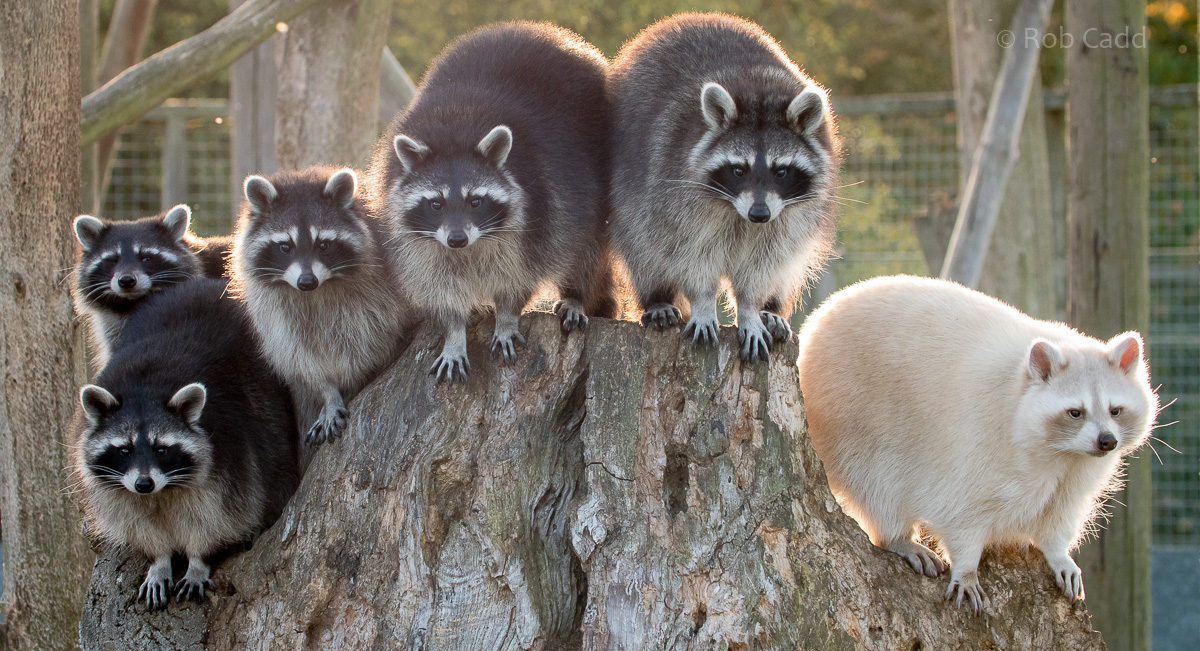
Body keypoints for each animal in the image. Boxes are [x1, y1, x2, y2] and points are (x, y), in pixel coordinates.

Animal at [74, 278, 299, 610]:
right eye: (125, 449)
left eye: (161, 449)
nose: (143, 484)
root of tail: (207, 285)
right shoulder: (117, 489)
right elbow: (136, 523)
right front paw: (159, 560)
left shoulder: (232, 453)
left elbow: (223, 515)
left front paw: (198, 559)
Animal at [232, 166, 407, 445]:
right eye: (285, 246)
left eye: (323, 245)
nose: (306, 282)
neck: (316, 292)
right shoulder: (273, 310)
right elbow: (300, 355)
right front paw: (328, 393)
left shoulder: (378, 293)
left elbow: (371, 339)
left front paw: (352, 382)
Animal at [368, 21, 615, 384]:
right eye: (436, 204)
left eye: (475, 201)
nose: (457, 239)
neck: (454, 135)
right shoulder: (417, 242)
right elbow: (438, 284)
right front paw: (454, 334)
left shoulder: (538, 211)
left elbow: (519, 274)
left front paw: (507, 316)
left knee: (586, 247)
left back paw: (576, 295)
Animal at [608, 13, 838, 362]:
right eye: (739, 170)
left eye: (781, 171)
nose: (759, 214)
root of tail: (693, 16)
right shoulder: (674, 191)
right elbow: (691, 254)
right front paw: (703, 303)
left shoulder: (788, 215)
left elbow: (764, 263)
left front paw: (752, 309)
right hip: (632, 189)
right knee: (643, 244)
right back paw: (657, 298)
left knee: (784, 264)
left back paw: (772, 309)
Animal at [797, 275, 1158, 611]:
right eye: (1075, 412)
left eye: (1115, 410)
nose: (1107, 441)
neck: (1064, 453)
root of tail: (813, 327)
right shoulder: (974, 447)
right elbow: (959, 514)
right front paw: (967, 567)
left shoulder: (1078, 474)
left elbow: (1059, 514)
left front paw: (1057, 552)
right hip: (851, 423)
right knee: (877, 483)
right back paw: (895, 536)